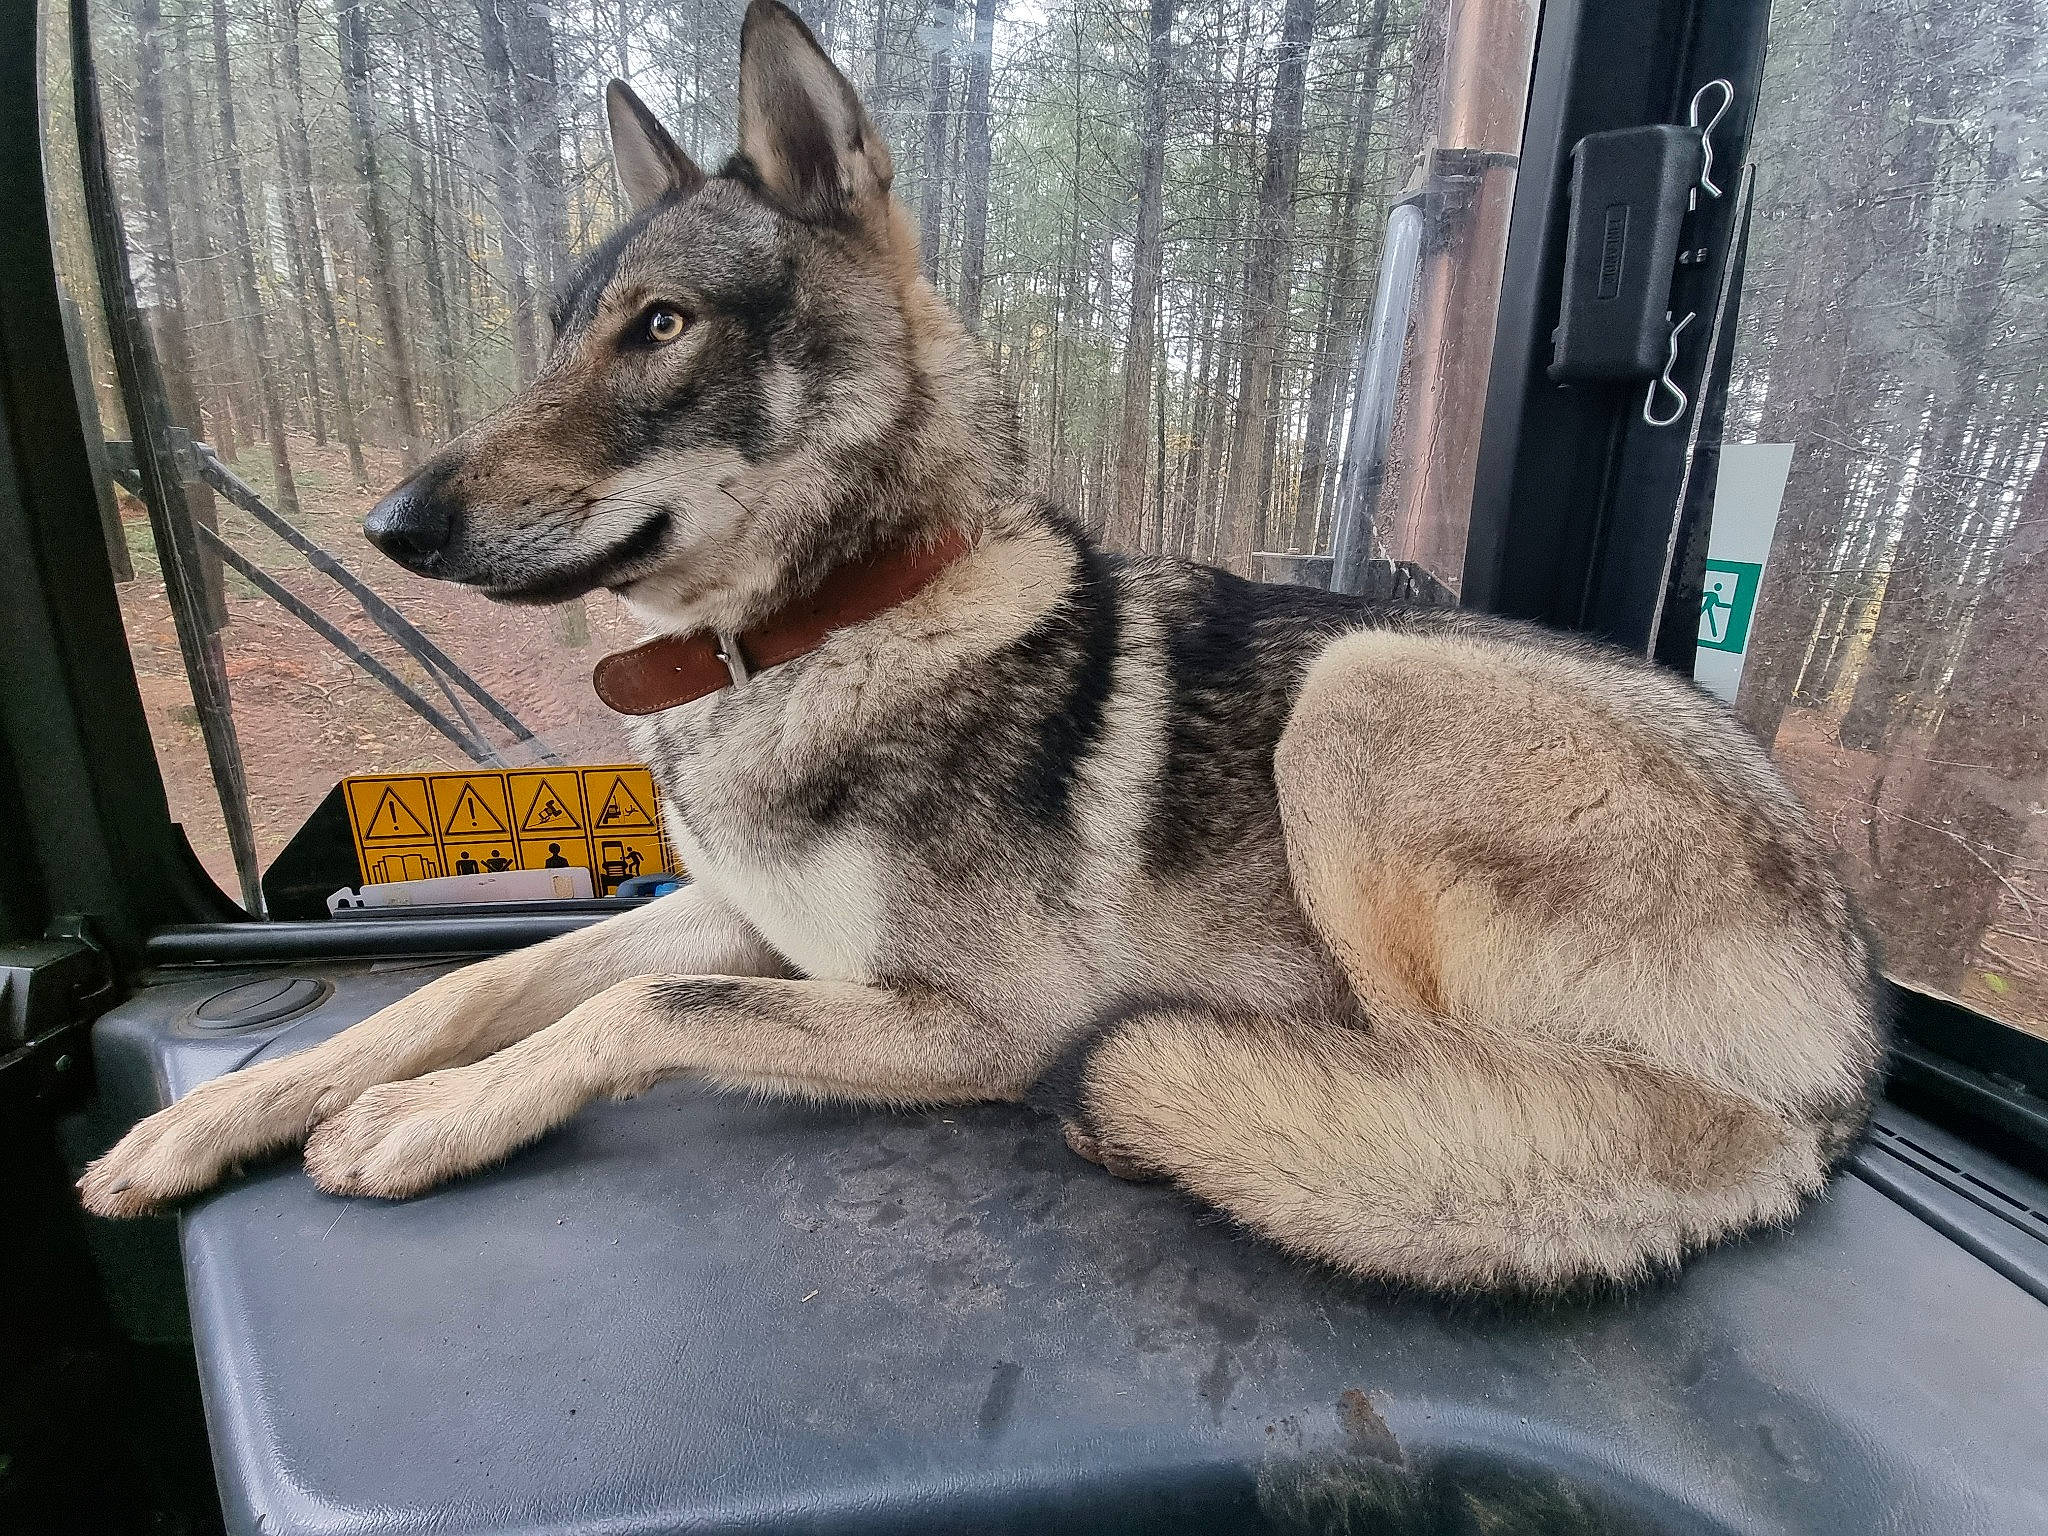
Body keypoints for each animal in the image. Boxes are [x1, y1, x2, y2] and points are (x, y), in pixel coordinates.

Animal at [80, 0, 1882, 1294]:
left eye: (659, 328)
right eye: (560, 335)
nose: (389, 525)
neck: (816, 638)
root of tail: (1842, 1067)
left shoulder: (952, 1017)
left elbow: (633, 1015)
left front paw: (424, 1122)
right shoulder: (744, 920)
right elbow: (464, 989)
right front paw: (219, 1119)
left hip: (1365, 692)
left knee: (1470, 1107)